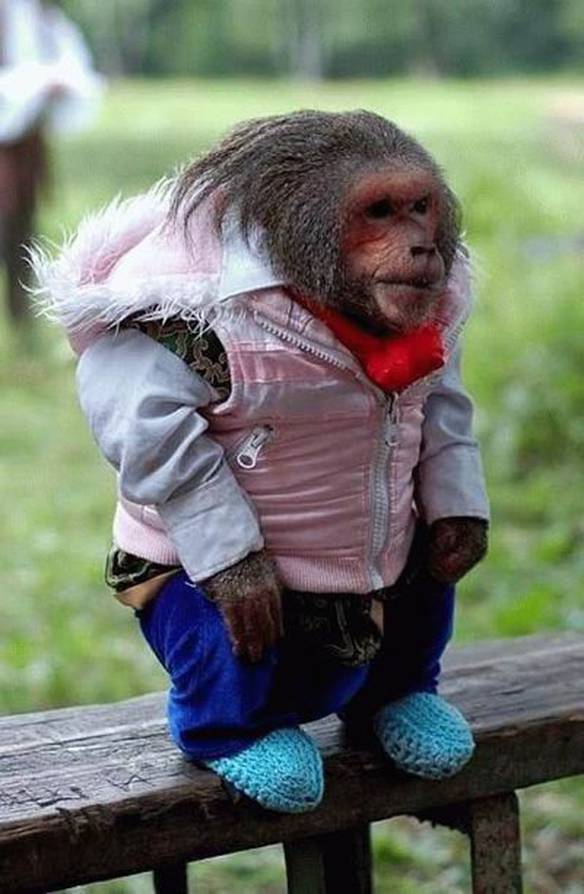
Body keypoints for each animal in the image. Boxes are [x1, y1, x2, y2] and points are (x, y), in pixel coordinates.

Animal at [36, 109, 489, 813]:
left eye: (418, 207)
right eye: (380, 212)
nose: (421, 247)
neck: (333, 313)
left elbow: (443, 408)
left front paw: (462, 530)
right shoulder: (180, 324)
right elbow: (152, 419)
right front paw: (243, 577)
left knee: (418, 580)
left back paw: (403, 703)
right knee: (223, 627)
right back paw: (250, 746)